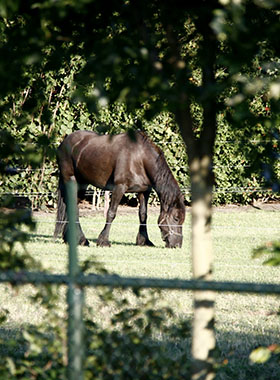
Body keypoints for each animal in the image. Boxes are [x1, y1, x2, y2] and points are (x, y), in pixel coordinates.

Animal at [53, 131, 186, 249]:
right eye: (176, 218)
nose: (177, 245)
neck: (139, 158)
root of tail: (64, 142)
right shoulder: (119, 188)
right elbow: (111, 213)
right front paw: (103, 241)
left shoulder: (143, 191)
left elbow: (143, 215)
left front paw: (144, 241)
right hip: (71, 180)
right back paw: (82, 240)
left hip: (82, 183)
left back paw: (72, 239)